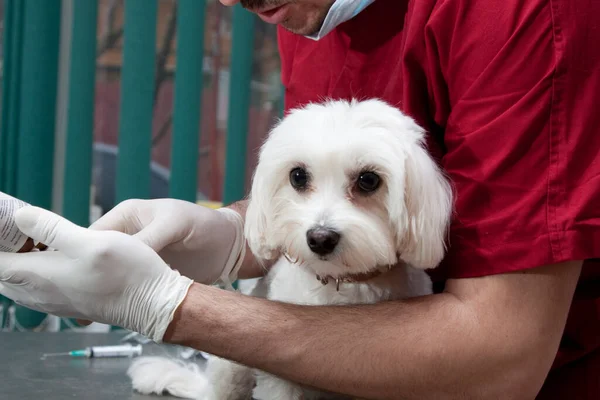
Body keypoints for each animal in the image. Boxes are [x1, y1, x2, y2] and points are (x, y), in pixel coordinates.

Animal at [129, 99, 452, 400]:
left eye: (368, 179)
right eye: (298, 176)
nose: (320, 238)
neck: (341, 283)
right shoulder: (279, 374)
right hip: (232, 368)